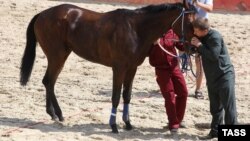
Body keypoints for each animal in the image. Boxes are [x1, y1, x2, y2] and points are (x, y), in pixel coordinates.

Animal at [20, 0, 196, 133]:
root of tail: (42, 14)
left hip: (60, 56)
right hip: (57, 56)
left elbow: (127, 95)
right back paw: (56, 114)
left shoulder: (132, 68)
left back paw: (55, 114)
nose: (194, 47)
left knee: (49, 82)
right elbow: (116, 97)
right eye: (190, 22)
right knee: (48, 81)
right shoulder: (119, 68)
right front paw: (113, 125)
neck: (136, 29)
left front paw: (128, 123)